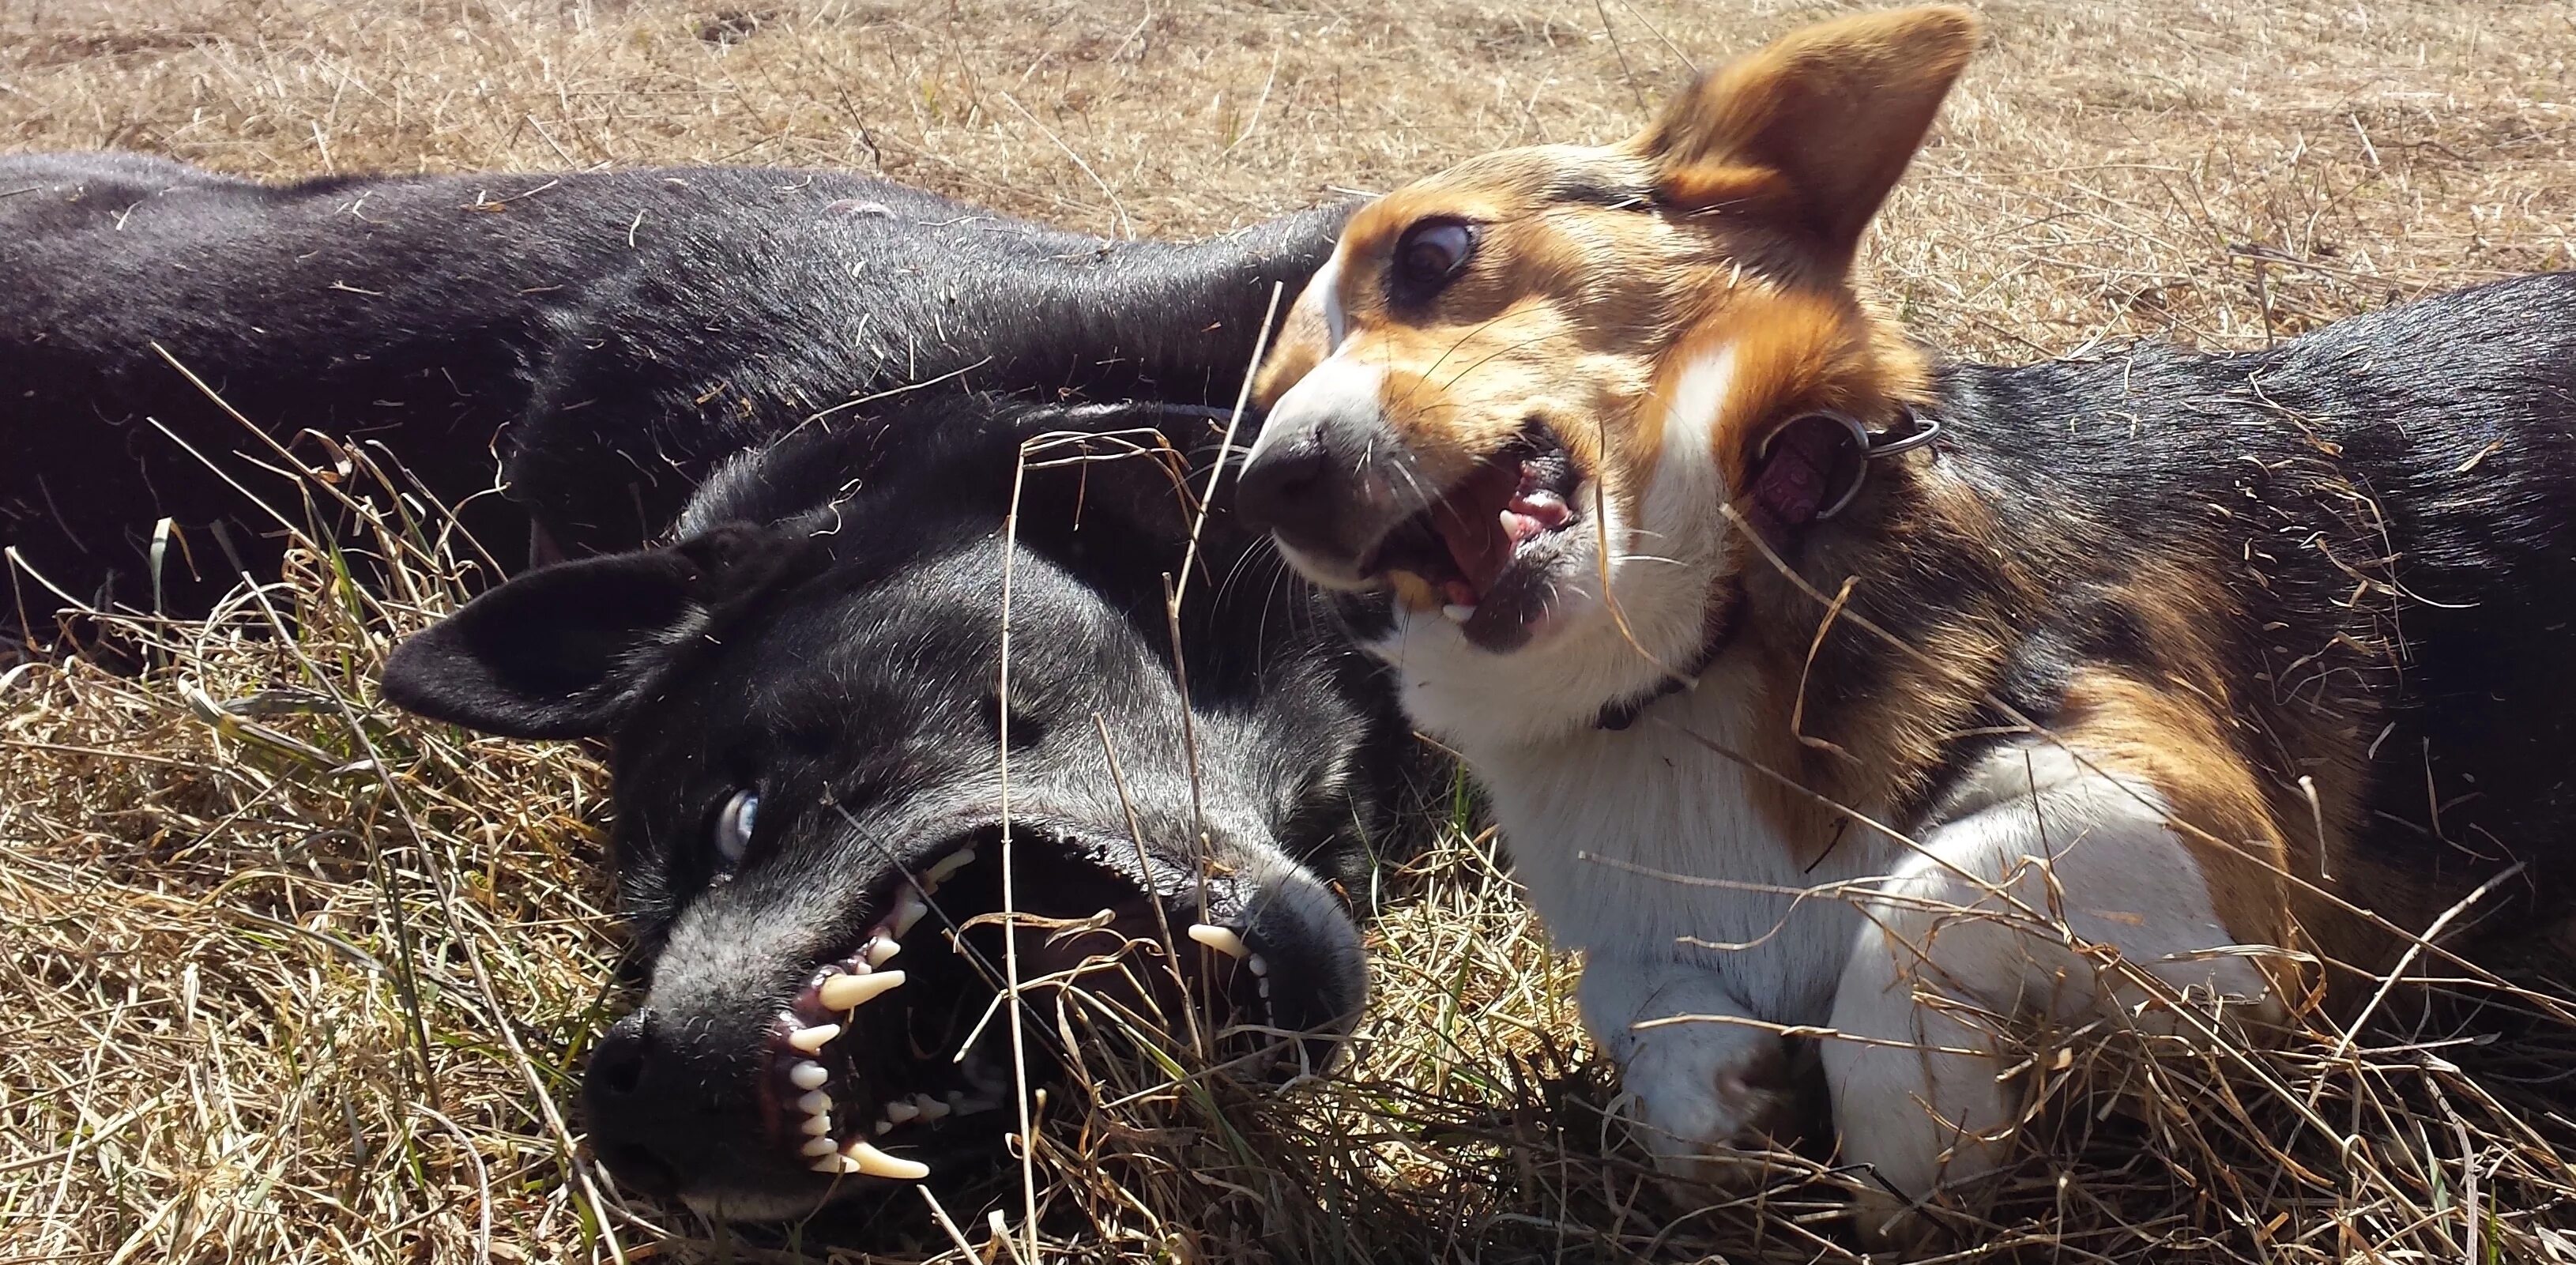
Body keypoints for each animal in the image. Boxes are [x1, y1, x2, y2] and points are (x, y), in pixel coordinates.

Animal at [1226, 5, 2576, 1231]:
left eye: (1434, 252)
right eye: (1264, 395)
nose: (1272, 480)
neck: (1706, 640)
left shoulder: (2219, 852)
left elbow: (1920, 894)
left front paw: (1910, 1138)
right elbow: (1628, 990)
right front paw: (1703, 1092)